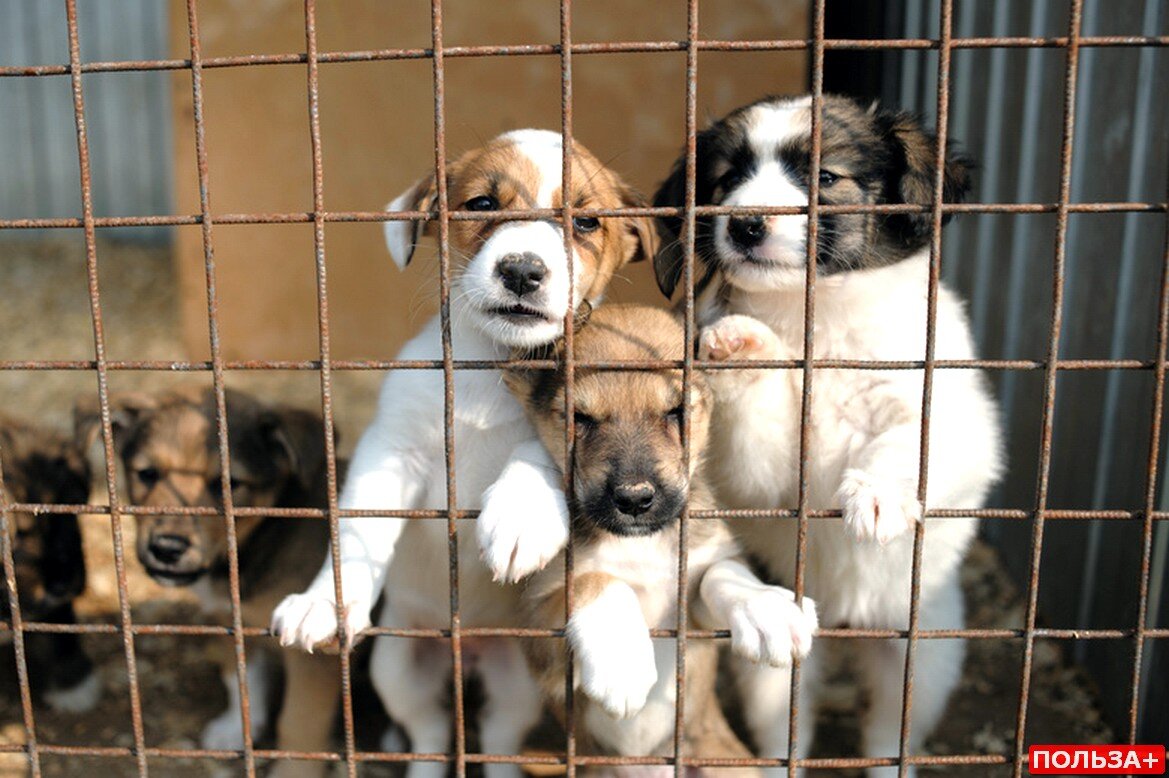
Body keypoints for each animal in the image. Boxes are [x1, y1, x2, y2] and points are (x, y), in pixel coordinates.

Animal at [75, 385, 339, 775]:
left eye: (228, 484)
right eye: (147, 473)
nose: (167, 548)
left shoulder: (313, 658)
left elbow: (300, 721)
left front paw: (294, 771)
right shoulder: (229, 620)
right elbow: (240, 678)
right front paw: (235, 729)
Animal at [271, 128, 659, 775]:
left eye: (585, 222)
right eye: (481, 204)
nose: (523, 270)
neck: (487, 368)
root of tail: (467, 651)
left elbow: (535, 451)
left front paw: (522, 518)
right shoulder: (391, 451)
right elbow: (358, 529)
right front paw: (324, 601)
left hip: (516, 683)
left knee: (498, 738)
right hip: (400, 668)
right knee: (430, 732)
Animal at [507, 299, 818, 770]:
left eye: (677, 413)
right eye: (580, 419)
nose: (634, 500)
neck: (638, 544)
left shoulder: (698, 621)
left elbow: (721, 573)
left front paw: (765, 607)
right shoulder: (534, 630)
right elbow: (597, 579)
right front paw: (623, 662)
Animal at [654, 94, 1000, 770]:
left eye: (825, 177)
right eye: (726, 180)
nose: (746, 224)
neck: (826, 320)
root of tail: (843, 623)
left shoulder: (948, 413)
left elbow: (904, 441)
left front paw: (877, 493)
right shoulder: (763, 471)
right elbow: (759, 420)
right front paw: (741, 345)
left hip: (922, 660)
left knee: (889, 738)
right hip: (776, 679)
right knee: (789, 737)